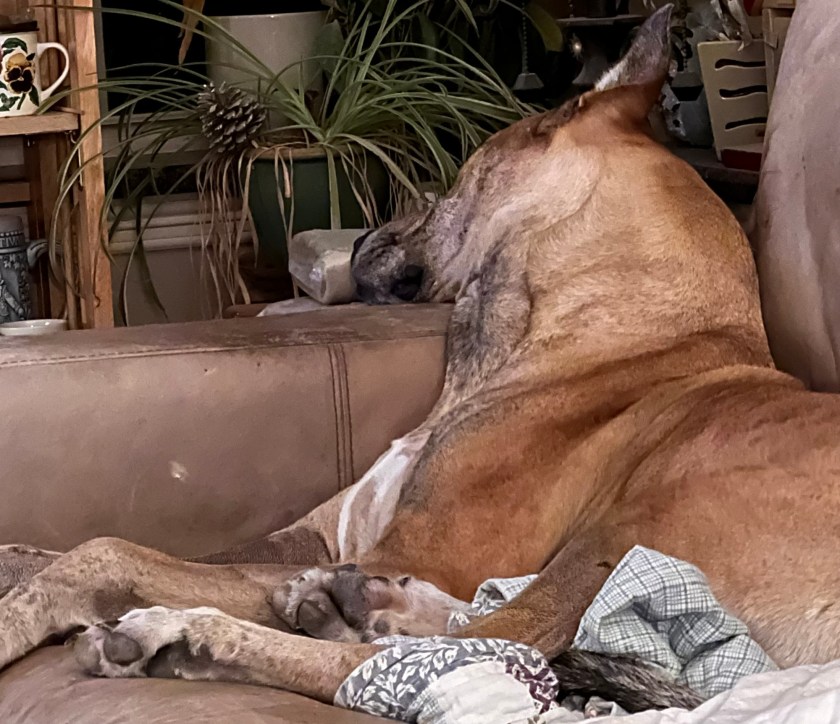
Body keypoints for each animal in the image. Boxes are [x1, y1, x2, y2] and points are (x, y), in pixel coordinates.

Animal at [1, 4, 839, 714]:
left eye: (450, 177)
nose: (361, 238)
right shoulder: (323, 537)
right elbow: (122, 547)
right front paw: (18, 559)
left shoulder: (419, 549)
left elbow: (107, 550)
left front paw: (21, 616)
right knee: (468, 638)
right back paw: (349, 607)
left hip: (632, 527)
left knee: (477, 647)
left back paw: (199, 634)